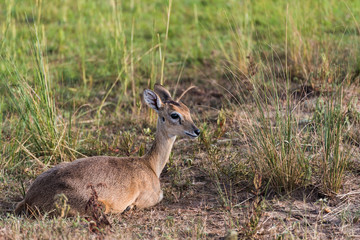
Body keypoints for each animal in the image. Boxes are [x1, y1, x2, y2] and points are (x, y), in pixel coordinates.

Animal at [15, 84, 200, 216]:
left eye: (187, 110)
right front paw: (129, 207)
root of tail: (29, 199)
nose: (196, 131)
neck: (150, 165)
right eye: (174, 115)